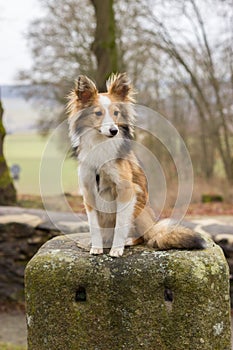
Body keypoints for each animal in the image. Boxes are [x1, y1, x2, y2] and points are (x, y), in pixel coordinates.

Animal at [67, 72, 206, 258]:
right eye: (98, 113)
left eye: (116, 113)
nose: (114, 131)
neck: (101, 144)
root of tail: (153, 226)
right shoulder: (88, 192)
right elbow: (94, 226)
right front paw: (96, 247)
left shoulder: (126, 190)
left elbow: (120, 226)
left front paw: (117, 249)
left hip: (139, 209)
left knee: (142, 236)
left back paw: (127, 241)